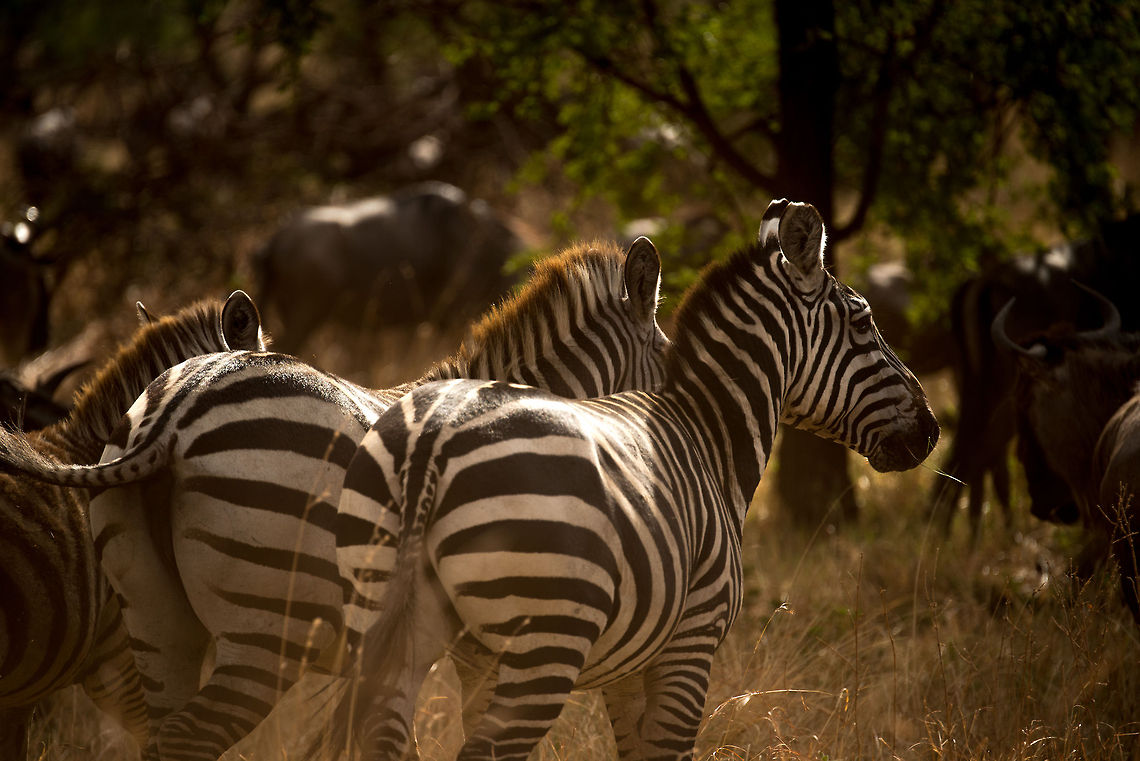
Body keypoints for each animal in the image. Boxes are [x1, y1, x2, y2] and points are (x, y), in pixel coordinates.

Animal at [328, 199, 940, 761]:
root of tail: (430, 439)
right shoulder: (692, 642)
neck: (707, 430)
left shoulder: (628, 664)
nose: (931, 430)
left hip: (411, 632)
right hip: (543, 643)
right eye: (863, 323)